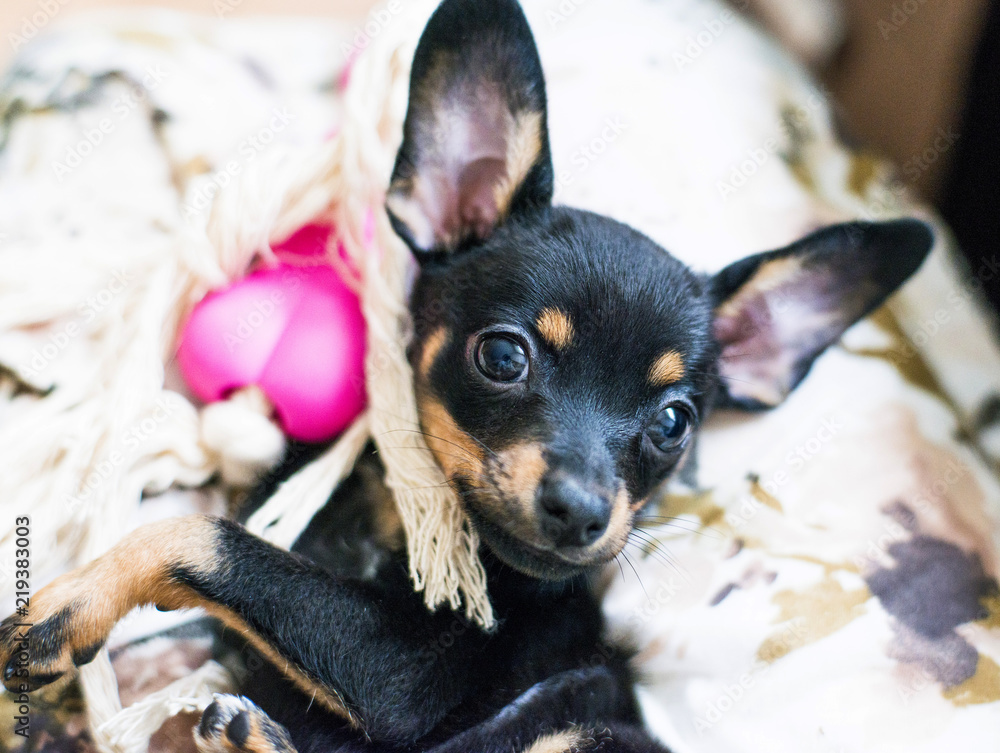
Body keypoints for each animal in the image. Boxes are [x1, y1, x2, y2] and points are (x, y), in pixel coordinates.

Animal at [3, 1, 932, 752]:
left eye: (675, 422)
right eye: (504, 356)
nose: (581, 511)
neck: (392, 517)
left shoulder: (407, 674)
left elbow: (202, 536)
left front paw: (67, 606)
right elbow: (219, 542)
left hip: (586, 731)